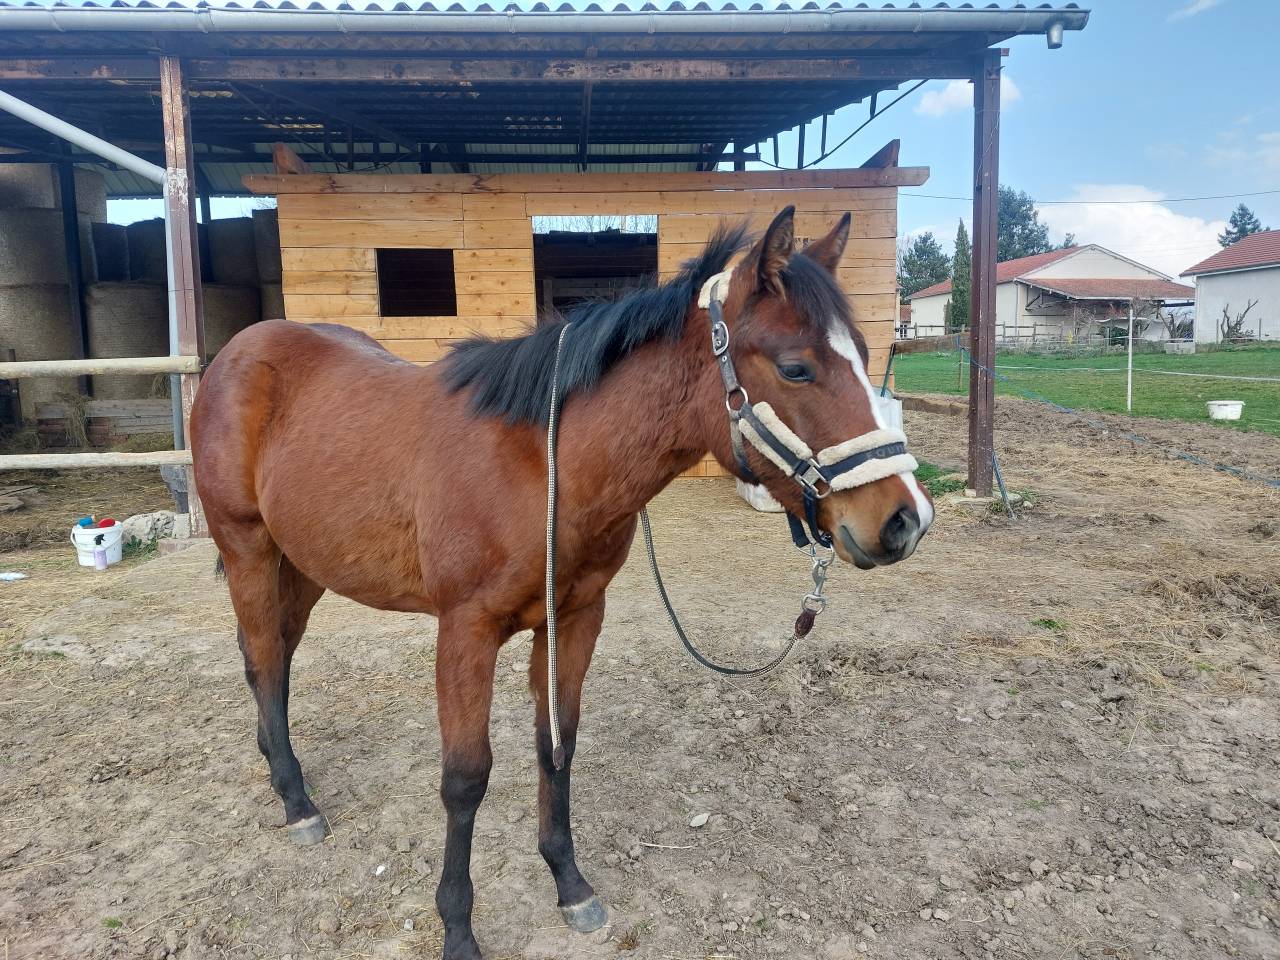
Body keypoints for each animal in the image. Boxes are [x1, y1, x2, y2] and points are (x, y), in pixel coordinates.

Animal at [189, 206, 932, 959]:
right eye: (795, 367)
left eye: (863, 358)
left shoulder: (573, 617)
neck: (543, 464)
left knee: (274, 656)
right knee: (264, 660)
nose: (905, 521)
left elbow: (558, 746)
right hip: (250, 549)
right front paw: (458, 927)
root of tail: (237, 352)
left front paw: (569, 882)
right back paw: (296, 802)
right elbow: (466, 778)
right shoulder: (466, 630)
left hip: (303, 563)